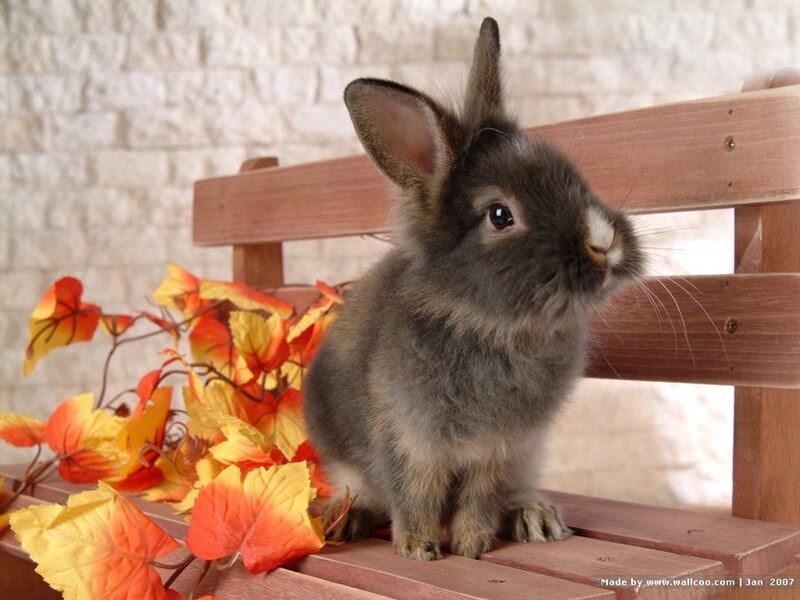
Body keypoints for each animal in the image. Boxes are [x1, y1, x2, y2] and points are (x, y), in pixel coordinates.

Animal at [303, 17, 644, 561]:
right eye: (500, 215)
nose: (604, 243)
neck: (489, 323)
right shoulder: (408, 441)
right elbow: (414, 496)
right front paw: (418, 549)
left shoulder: (499, 451)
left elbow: (480, 499)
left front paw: (471, 546)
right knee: (364, 490)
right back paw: (348, 517)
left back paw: (535, 518)